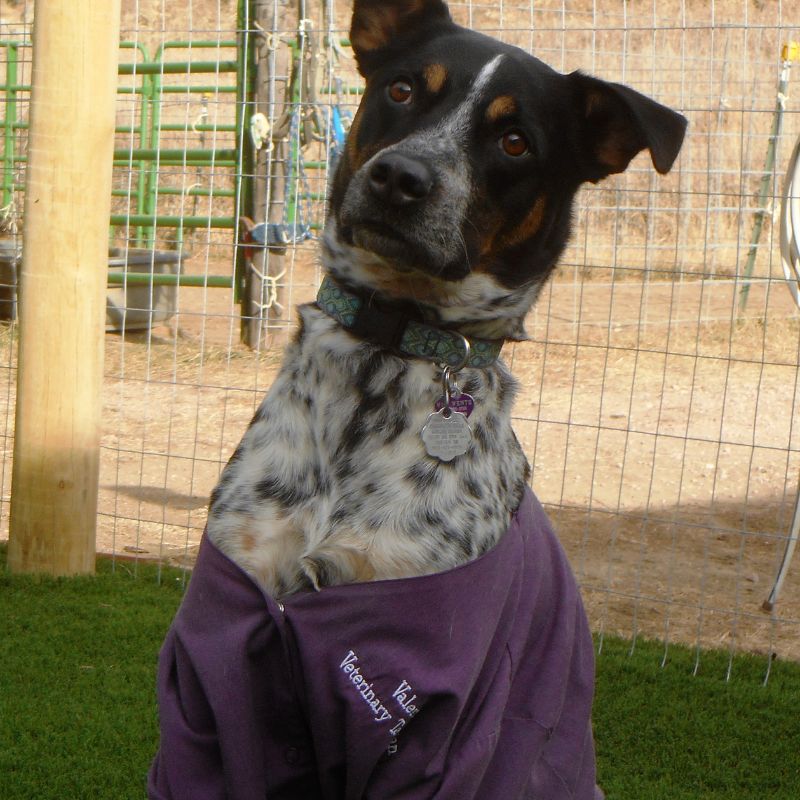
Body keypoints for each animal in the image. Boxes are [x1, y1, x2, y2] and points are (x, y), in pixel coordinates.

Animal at [147, 3, 684, 796]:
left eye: (516, 141)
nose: (401, 177)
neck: (387, 351)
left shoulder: (433, 702)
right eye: (401, 90)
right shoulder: (222, 657)